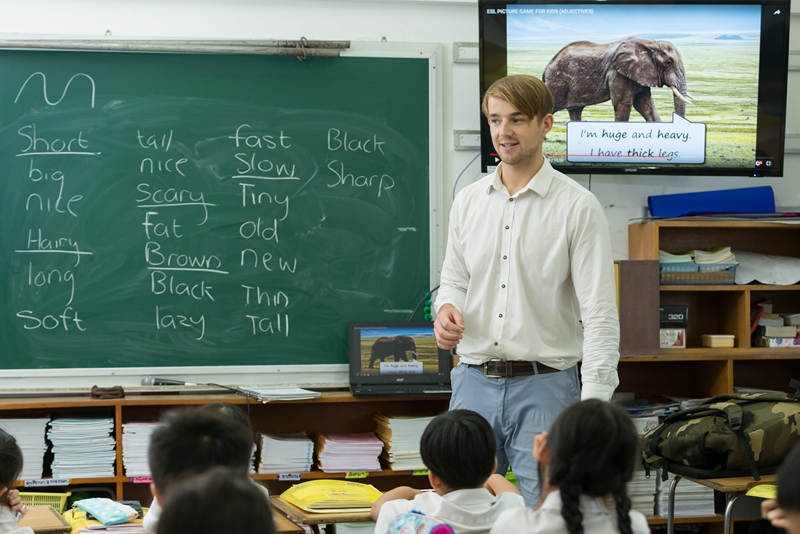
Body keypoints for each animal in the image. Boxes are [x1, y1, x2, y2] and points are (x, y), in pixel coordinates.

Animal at [544, 37, 692, 122]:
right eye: (669, 63)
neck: (650, 43)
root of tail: (546, 68)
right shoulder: (618, 73)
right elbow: (623, 103)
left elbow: (645, 104)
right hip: (557, 82)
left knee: (575, 110)